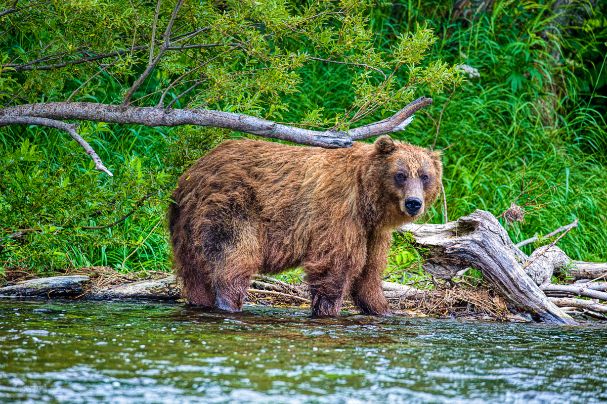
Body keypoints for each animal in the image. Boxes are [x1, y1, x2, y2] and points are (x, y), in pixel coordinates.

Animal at [169, 135, 444, 316]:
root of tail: (191, 175)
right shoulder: (339, 212)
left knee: (195, 272)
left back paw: (201, 302)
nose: (413, 203)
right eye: (401, 174)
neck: (368, 201)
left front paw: (382, 309)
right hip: (232, 207)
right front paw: (328, 310)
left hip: (185, 228)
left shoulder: (373, 232)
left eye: (425, 176)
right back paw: (230, 303)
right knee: (234, 257)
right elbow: (336, 265)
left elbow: (369, 272)